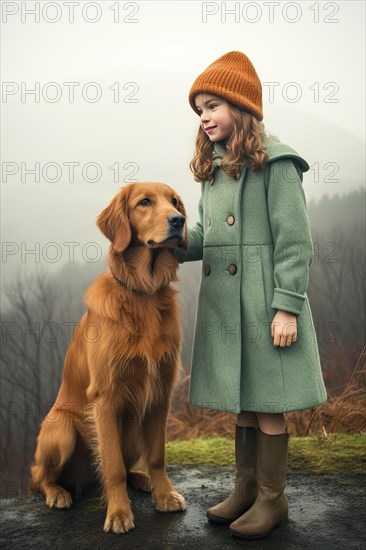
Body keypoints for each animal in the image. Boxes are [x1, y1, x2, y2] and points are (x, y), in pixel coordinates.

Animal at [29, 182, 187, 536]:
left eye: (174, 201)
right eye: (144, 202)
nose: (179, 220)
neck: (143, 294)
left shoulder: (160, 394)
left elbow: (156, 456)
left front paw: (164, 494)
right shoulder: (105, 398)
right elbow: (112, 466)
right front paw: (118, 513)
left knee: (126, 467)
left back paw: (141, 480)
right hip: (62, 428)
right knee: (39, 475)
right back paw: (57, 493)